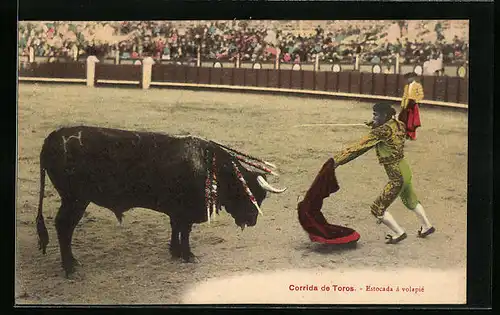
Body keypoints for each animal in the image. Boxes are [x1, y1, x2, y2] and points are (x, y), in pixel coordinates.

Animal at [37, 127, 288, 278]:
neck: (210, 167)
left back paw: (71, 263)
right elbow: (185, 232)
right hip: (75, 200)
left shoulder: (177, 211)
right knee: (63, 226)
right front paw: (188, 255)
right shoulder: (187, 211)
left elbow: (175, 229)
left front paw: (175, 252)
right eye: (251, 194)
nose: (252, 221)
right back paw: (70, 266)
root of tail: (52, 137)